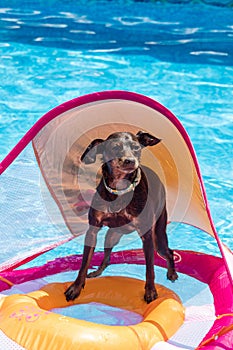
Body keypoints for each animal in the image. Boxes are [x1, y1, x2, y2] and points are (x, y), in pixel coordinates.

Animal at [64, 131, 177, 304]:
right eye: (114, 147)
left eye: (136, 147)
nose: (130, 161)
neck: (120, 188)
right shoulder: (92, 230)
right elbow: (84, 264)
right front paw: (75, 288)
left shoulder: (147, 237)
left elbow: (149, 269)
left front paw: (150, 291)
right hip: (112, 235)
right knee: (107, 257)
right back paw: (97, 272)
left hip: (158, 237)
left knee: (169, 252)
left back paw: (172, 273)